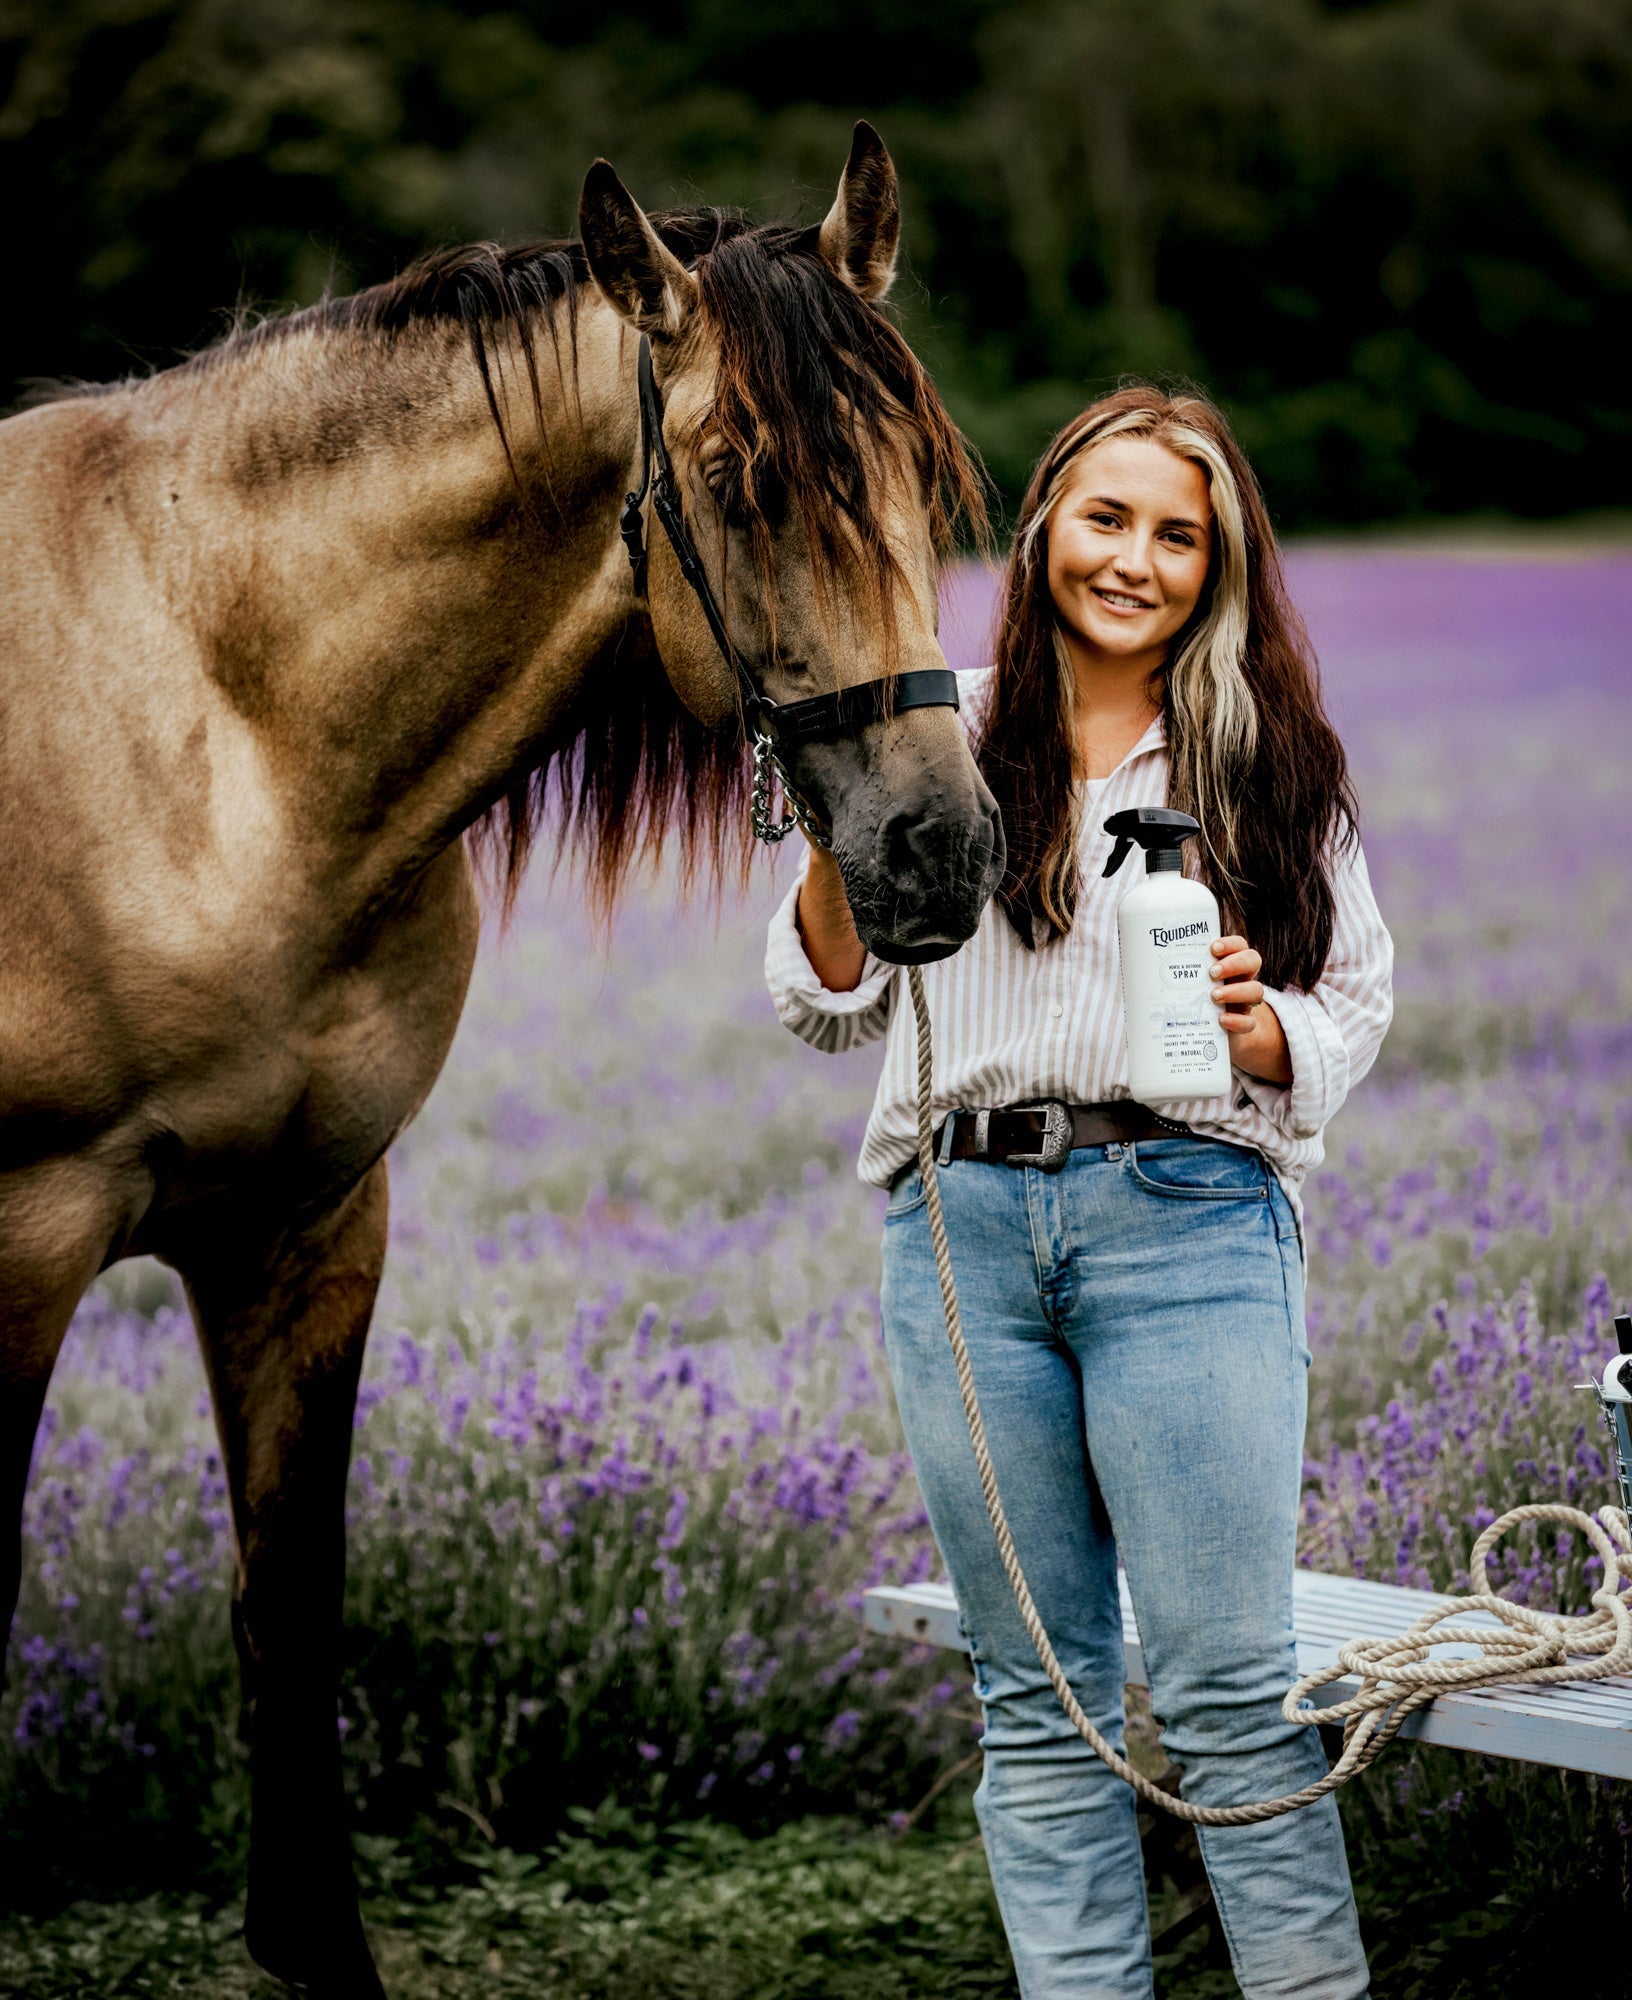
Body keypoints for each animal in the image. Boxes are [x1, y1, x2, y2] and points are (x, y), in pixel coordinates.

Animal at [0, 123, 1004, 1995]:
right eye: (739, 477)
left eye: (924, 464)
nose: (940, 850)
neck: (218, 723)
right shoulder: (26, 1242)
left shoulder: (310, 1226)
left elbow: (290, 1590)